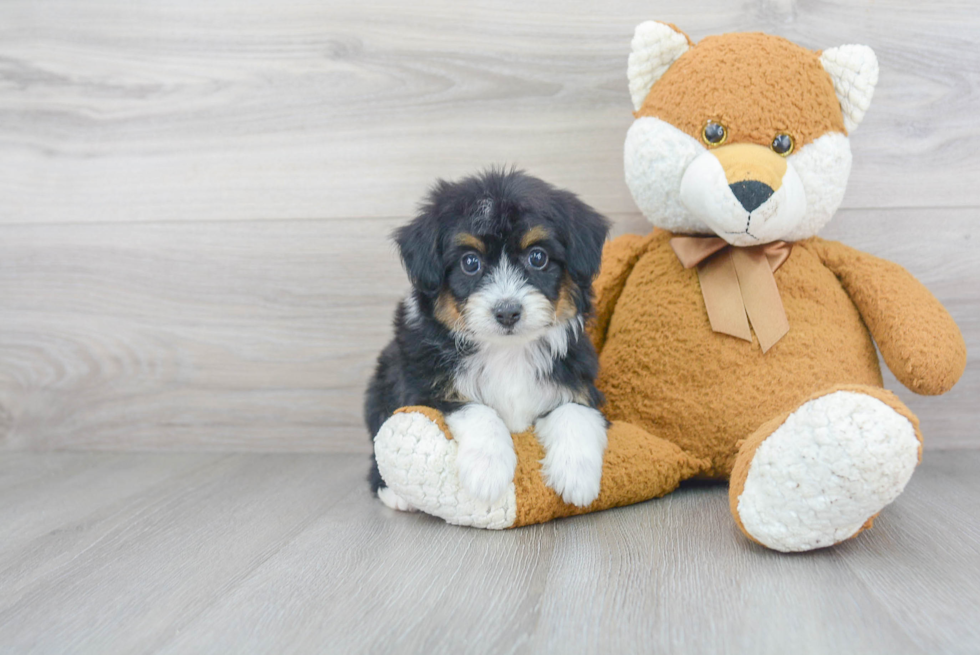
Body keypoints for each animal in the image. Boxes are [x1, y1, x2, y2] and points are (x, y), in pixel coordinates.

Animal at [368, 169, 612, 512]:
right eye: (470, 262)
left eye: (538, 257)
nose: (507, 312)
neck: (507, 351)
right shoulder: (424, 388)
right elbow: (478, 410)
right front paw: (488, 472)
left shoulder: (578, 380)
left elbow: (574, 411)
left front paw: (577, 476)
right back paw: (393, 493)